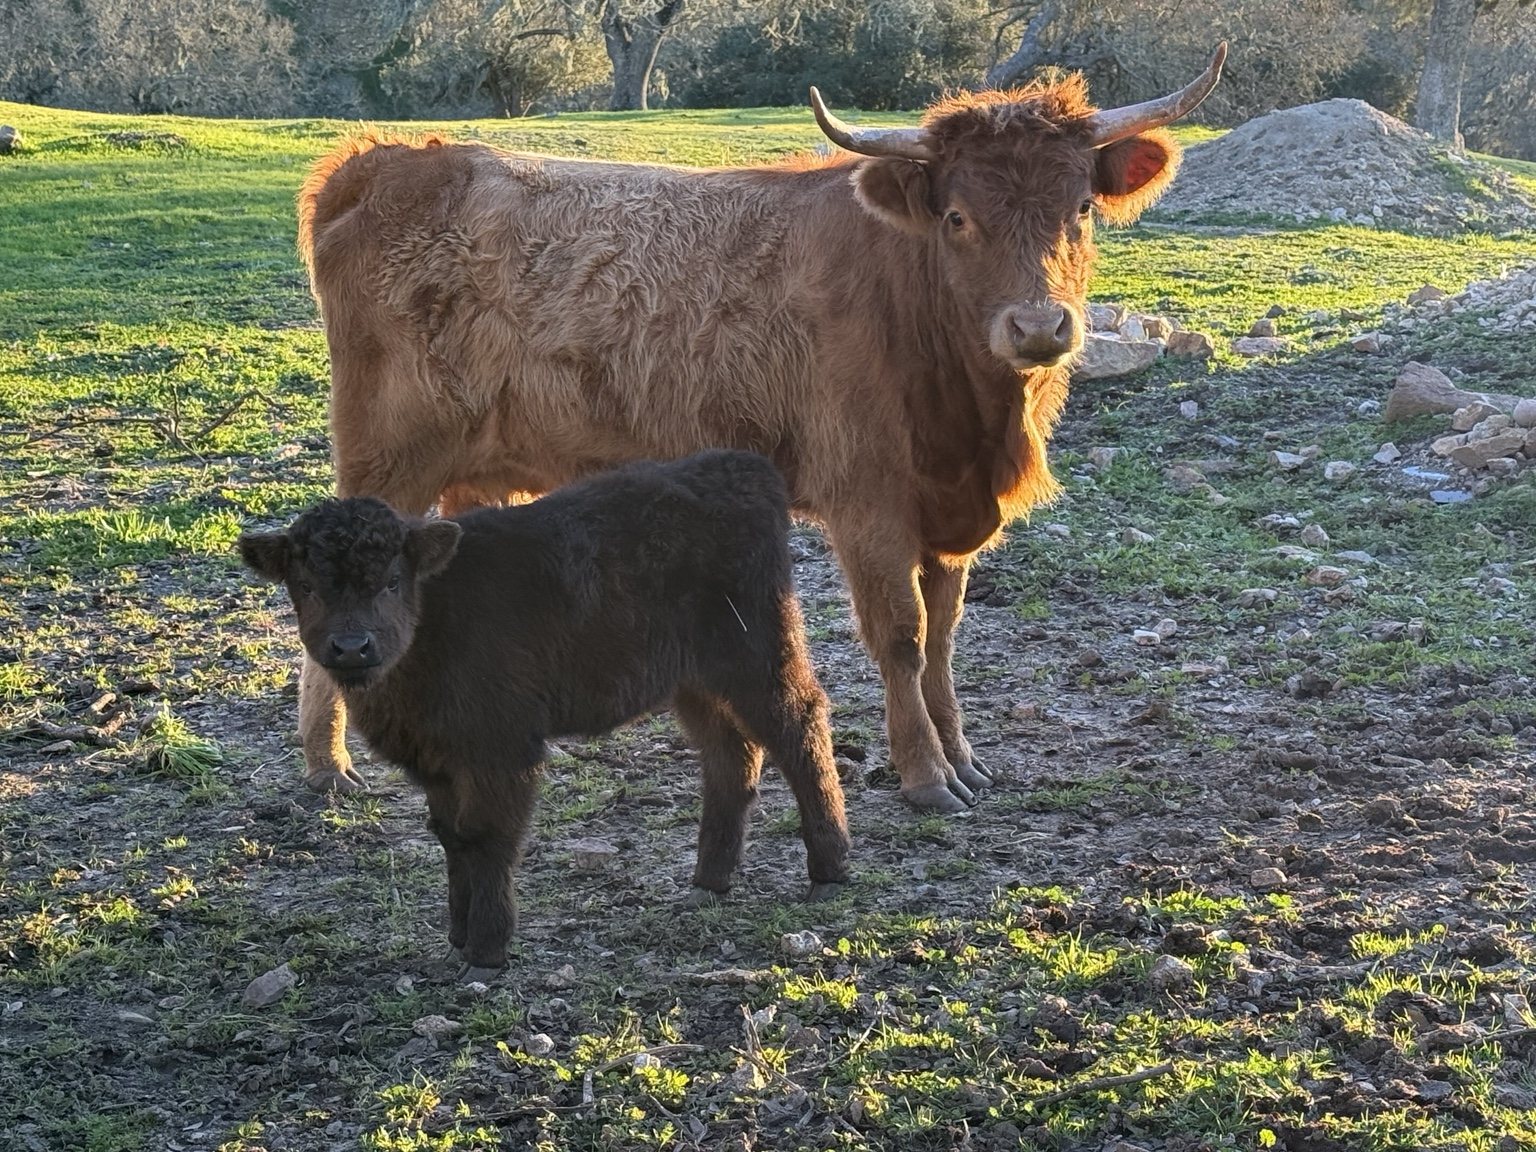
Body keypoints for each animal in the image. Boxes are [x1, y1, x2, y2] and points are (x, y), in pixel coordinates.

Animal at [239, 451, 851, 975]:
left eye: (392, 581)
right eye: (306, 585)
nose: (351, 647)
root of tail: (738, 466)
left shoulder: (502, 748)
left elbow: (486, 835)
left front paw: (486, 951)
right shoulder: (437, 761)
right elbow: (451, 836)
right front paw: (458, 937)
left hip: (757, 652)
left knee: (798, 725)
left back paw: (829, 870)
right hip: (693, 678)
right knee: (730, 750)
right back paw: (709, 881)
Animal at [292, 45, 1226, 813]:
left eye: (1081, 208)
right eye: (959, 217)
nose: (1038, 327)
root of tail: (387, 160)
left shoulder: (946, 514)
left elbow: (946, 641)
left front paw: (963, 758)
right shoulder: (868, 503)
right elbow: (902, 638)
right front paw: (925, 776)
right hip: (388, 459)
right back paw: (325, 766)